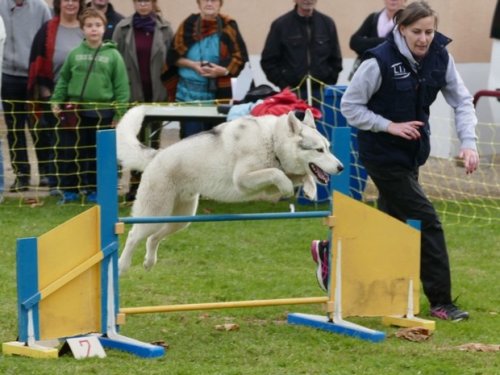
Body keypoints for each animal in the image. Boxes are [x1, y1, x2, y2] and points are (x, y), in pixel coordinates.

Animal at [117, 106, 344, 274]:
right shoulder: (243, 179)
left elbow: (298, 175)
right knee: (133, 235)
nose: (341, 167)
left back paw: (149, 262)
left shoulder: (269, 188)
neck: (272, 143)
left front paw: (309, 188)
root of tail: (157, 155)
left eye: (328, 147)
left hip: (181, 220)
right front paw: (289, 187)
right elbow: (277, 174)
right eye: (319, 150)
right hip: (154, 215)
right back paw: (122, 266)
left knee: (153, 238)